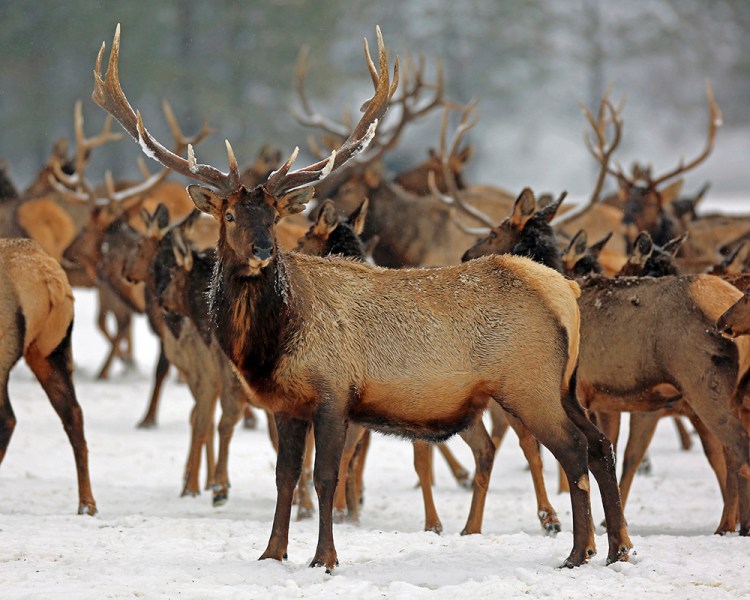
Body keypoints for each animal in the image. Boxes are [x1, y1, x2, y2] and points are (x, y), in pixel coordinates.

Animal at [92, 24, 636, 572]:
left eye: (272, 215)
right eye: (228, 215)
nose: (263, 249)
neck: (272, 341)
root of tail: (564, 291)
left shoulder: (333, 390)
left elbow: (324, 477)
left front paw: (324, 558)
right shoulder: (287, 403)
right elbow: (283, 477)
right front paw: (272, 552)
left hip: (529, 384)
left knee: (573, 449)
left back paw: (578, 551)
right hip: (562, 387)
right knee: (599, 444)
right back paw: (616, 548)